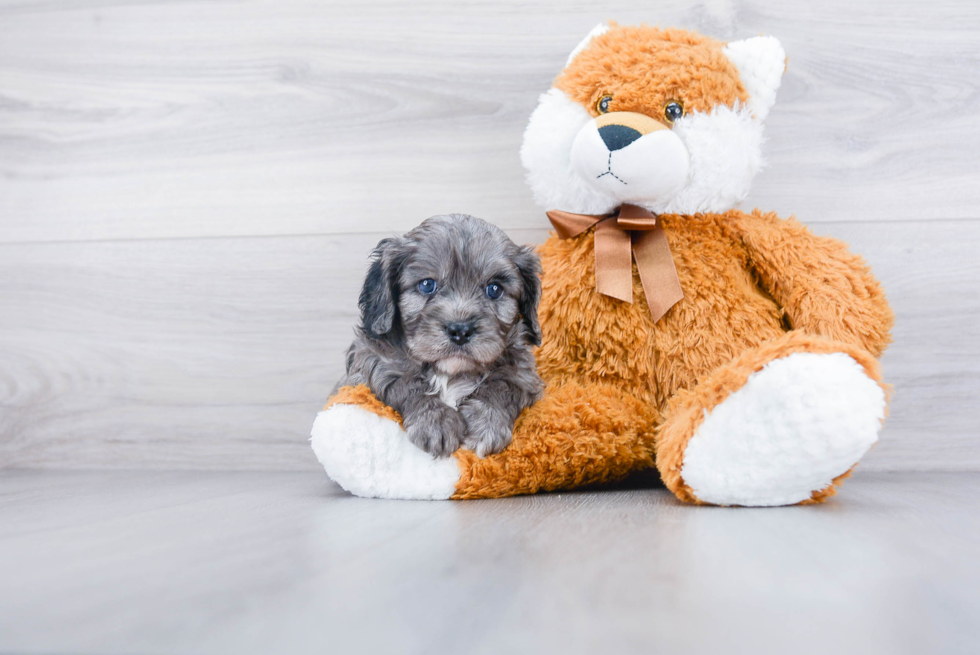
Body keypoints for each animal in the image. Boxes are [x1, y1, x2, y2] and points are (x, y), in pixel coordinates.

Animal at [338, 214, 544, 456]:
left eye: (494, 289)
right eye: (427, 285)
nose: (460, 331)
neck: (449, 373)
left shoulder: (524, 373)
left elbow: (503, 385)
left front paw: (486, 422)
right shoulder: (371, 361)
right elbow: (406, 382)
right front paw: (435, 421)